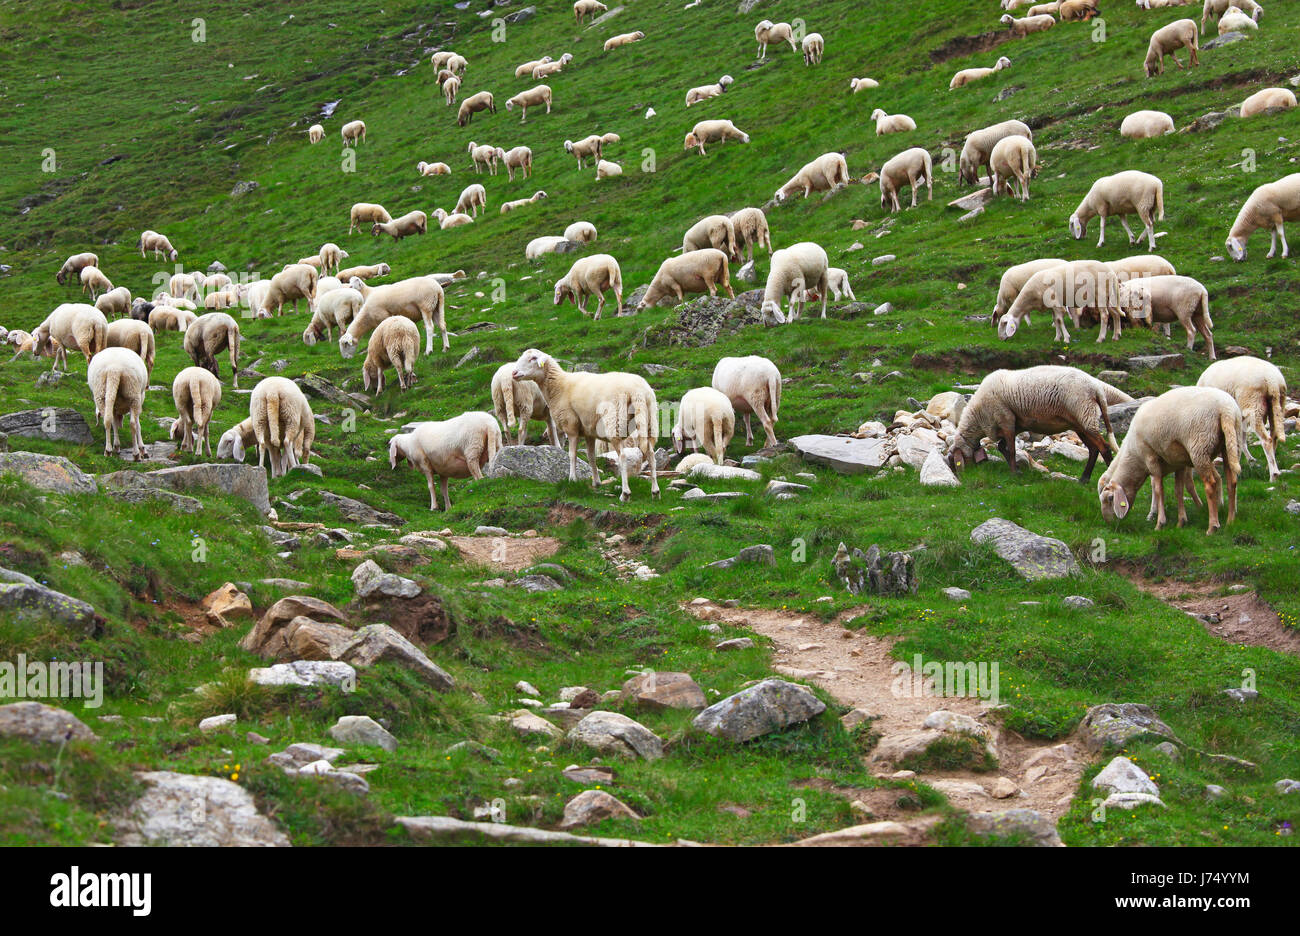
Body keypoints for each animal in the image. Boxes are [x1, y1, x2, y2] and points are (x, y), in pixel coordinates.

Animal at [511, 349, 660, 501]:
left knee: (623, 457)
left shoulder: (571, 426)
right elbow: (591, 456)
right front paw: (596, 482)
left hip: (615, 422)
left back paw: (625, 494)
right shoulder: (589, 431)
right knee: (651, 455)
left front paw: (572, 479)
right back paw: (655, 491)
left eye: (533, 358)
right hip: (650, 420)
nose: (514, 373)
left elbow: (572, 454)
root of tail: (638, 391)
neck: (559, 386)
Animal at [946, 366, 1121, 481]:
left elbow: (1011, 450)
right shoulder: (1016, 424)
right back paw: (1083, 480)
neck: (978, 416)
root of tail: (1097, 388)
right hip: (1080, 423)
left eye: (955, 462)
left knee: (1104, 448)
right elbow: (1002, 447)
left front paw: (1014, 474)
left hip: (1085, 416)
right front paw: (1016, 469)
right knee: (1093, 449)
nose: (963, 476)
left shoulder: (1006, 419)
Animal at [1098, 386, 1243, 533]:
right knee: (1232, 481)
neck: (1134, 457)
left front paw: (1160, 523)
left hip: (1200, 447)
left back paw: (1212, 526)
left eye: (1110, 498)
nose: (1109, 523)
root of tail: (1226, 409)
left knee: (1210, 485)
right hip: (1231, 443)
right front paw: (1181, 522)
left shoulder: (1150, 458)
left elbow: (1158, 489)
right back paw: (1230, 521)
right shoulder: (1179, 463)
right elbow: (1178, 490)